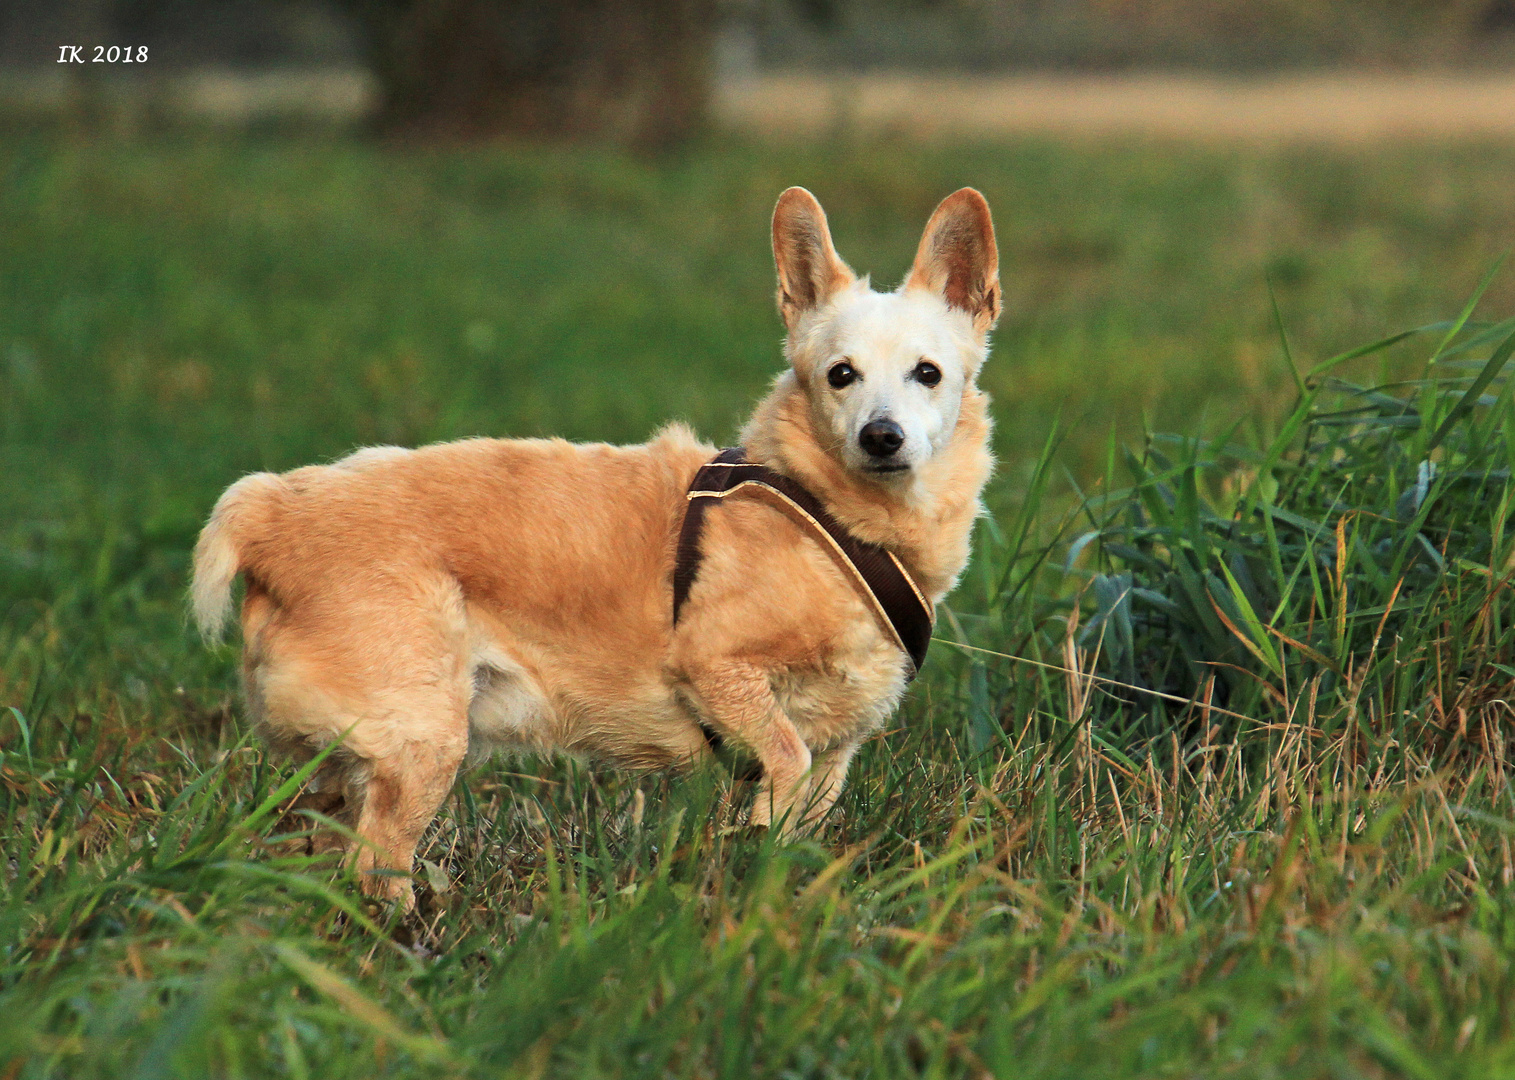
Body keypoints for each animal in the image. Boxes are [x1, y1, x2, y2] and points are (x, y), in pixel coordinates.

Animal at [192, 185, 993, 902]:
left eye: (927, 375)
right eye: (840, 376)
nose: (881, 436)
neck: (833, 519)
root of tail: (273, 511)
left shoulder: (838, 749)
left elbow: (800, 824)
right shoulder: (717, 672)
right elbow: (783, 762)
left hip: (341, 769)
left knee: (305, 852)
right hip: (420, 745)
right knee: (372, 870)